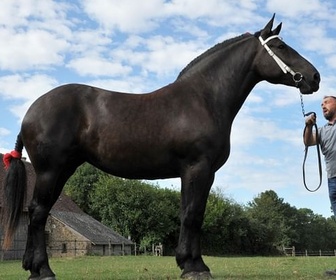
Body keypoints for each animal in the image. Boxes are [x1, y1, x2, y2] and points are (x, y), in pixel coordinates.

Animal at [0, 15, 320, 280]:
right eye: (280, 46)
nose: (314, 77)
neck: (202, 99)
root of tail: (31, 111)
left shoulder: (194, 173)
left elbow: (190, 213)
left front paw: (188, 263)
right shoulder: (198, 168)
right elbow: (193, 215)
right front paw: (195, 267)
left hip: (61, 170)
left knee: (39, 212)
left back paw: (32, 267)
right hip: (51, 171)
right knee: (38, 213)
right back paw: (43, 270)